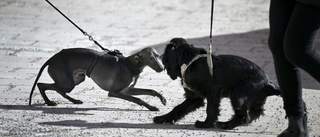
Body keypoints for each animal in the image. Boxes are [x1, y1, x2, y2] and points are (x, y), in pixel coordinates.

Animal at [28, 47, 166, 111]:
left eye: (158, 56)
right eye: (150, 58)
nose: (162, 68)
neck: (129, 64)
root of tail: (52, 58)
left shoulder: (127, 90)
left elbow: (150, 91)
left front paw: (161, 99)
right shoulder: (114, 92)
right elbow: (138, 99)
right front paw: (152, 107)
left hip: (76, 79)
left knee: (60, 90)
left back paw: (74, 101)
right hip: (67, 83)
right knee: (41, 84)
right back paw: (49, 102)